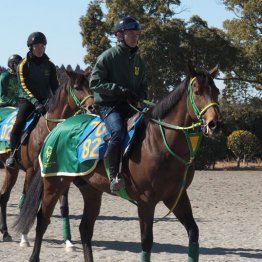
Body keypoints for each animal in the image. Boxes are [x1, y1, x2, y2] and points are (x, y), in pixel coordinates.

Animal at [0, 69, 93, 246]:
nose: (92, 105)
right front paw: (24, 237)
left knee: (4, 196)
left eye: (89, 85)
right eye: (77, 87)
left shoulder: (61, 172)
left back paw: (6, 232)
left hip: (11, 169)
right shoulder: (31, 171)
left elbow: (64, 207)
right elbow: (27, 201)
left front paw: (68, 241)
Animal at [15, 63, 222, 262]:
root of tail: (57, 128)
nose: (215, 124)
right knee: (42, 220)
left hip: (91, 190)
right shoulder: (146, 202)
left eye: (216, 92)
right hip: (54, 184)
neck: (158, 142)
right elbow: (146, 243)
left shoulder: (176, 196)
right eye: (197, 92)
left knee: (85, 228)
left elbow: (193, 232)